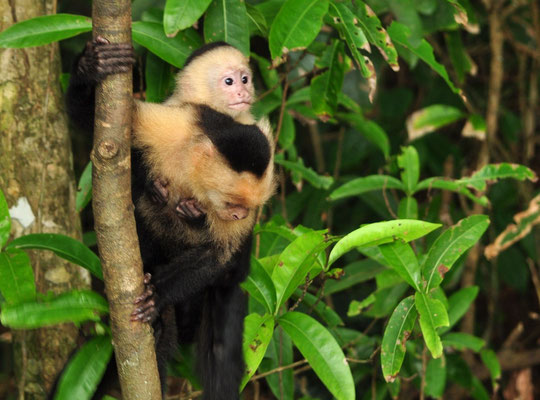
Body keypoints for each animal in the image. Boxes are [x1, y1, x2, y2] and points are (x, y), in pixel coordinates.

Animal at [64, 38, 274, 400]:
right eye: (229, 81)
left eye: (245, 78)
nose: (243, 89)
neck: (193, 171)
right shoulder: (176, 124)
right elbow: (96, 129)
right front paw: (91, 66)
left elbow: (218, 255)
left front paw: (157, 294)